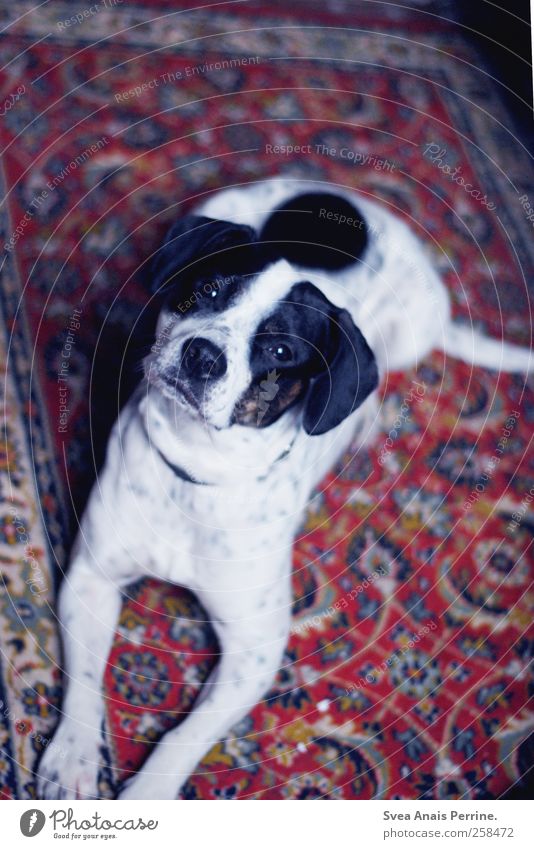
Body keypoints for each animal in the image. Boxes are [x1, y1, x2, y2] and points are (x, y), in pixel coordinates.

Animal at [35, 176, 532, 800]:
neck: (198, 470)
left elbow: (185, 736)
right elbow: (84, 678)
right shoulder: (92, 576)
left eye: (278, 351)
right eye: (208, 289)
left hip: (412, 332)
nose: (202, 354)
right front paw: (74, 755)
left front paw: (148, 794)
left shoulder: (255, 652)